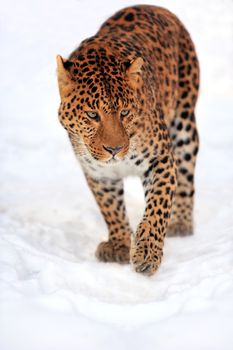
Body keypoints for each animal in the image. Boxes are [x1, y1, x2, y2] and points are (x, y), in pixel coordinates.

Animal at [57, 3, 200, 276]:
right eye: (93, 115)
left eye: (124, 113)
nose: (114, 149)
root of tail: (153, 6)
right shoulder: (98, 173)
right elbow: (111, 209)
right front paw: (119, 245)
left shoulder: (161, 159)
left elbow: (157, 207)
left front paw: (147, 253)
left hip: (185, 124)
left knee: (187, 177)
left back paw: (181, 224)